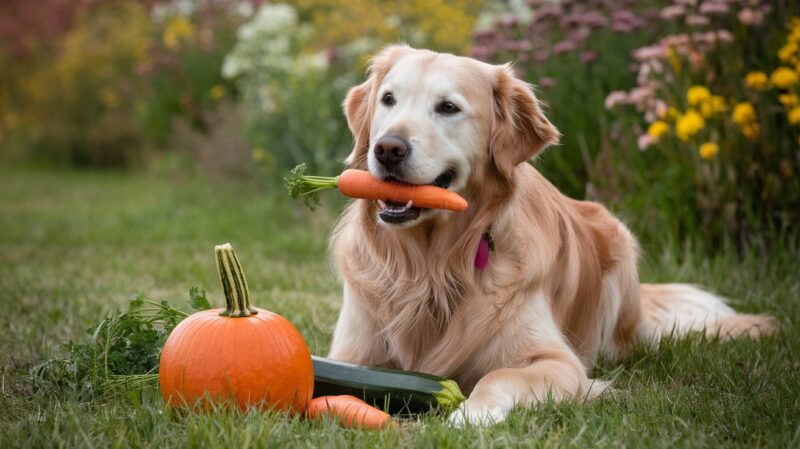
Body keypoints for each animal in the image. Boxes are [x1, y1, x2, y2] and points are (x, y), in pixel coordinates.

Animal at [326, 45, 776, 424]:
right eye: (388, 99)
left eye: (448, 107)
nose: (388, 149)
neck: (430, 265)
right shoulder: (350, 354)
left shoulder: (558, 363)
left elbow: (498, 376)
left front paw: (471, 413)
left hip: (620, 249)